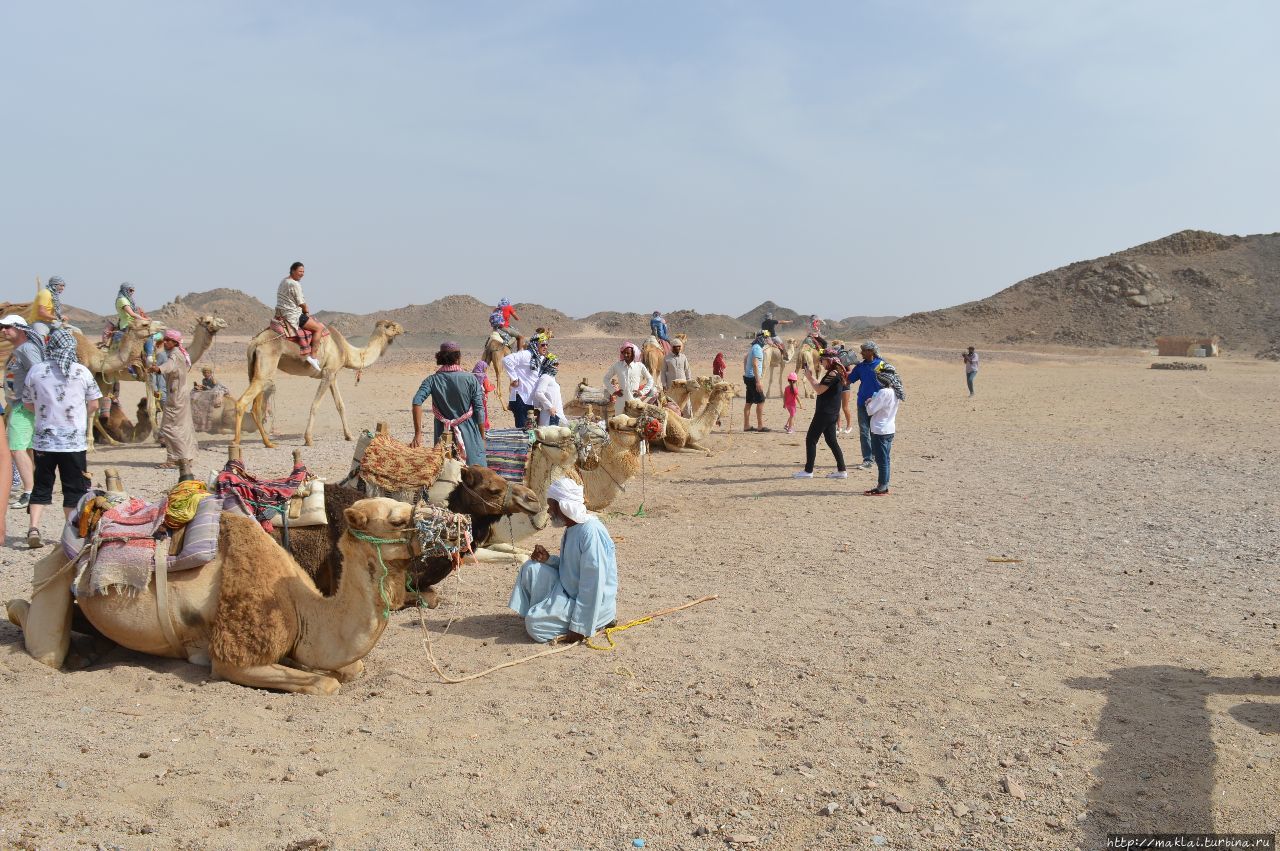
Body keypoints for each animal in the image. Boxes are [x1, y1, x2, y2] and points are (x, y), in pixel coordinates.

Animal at [8, 493, 419, 696]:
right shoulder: (234, 657)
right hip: (59, 566)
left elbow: (351, 667)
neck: (302, 608)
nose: (438, 523)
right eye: (398, 519)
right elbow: (326, 683)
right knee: (43, 643)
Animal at [232, 318, 401, 447]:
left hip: (255, 370)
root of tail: (254, 342)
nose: (403, 329)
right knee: (242, 402)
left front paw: (349, 436)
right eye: (392, 326)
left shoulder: (332, 374)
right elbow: (315, 405)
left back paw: (267, 442)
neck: (345, 350)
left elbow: (340, 405)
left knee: (256, 408)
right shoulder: (327, 373)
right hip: (266, 366)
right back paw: (237, 441)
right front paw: (308, 439)